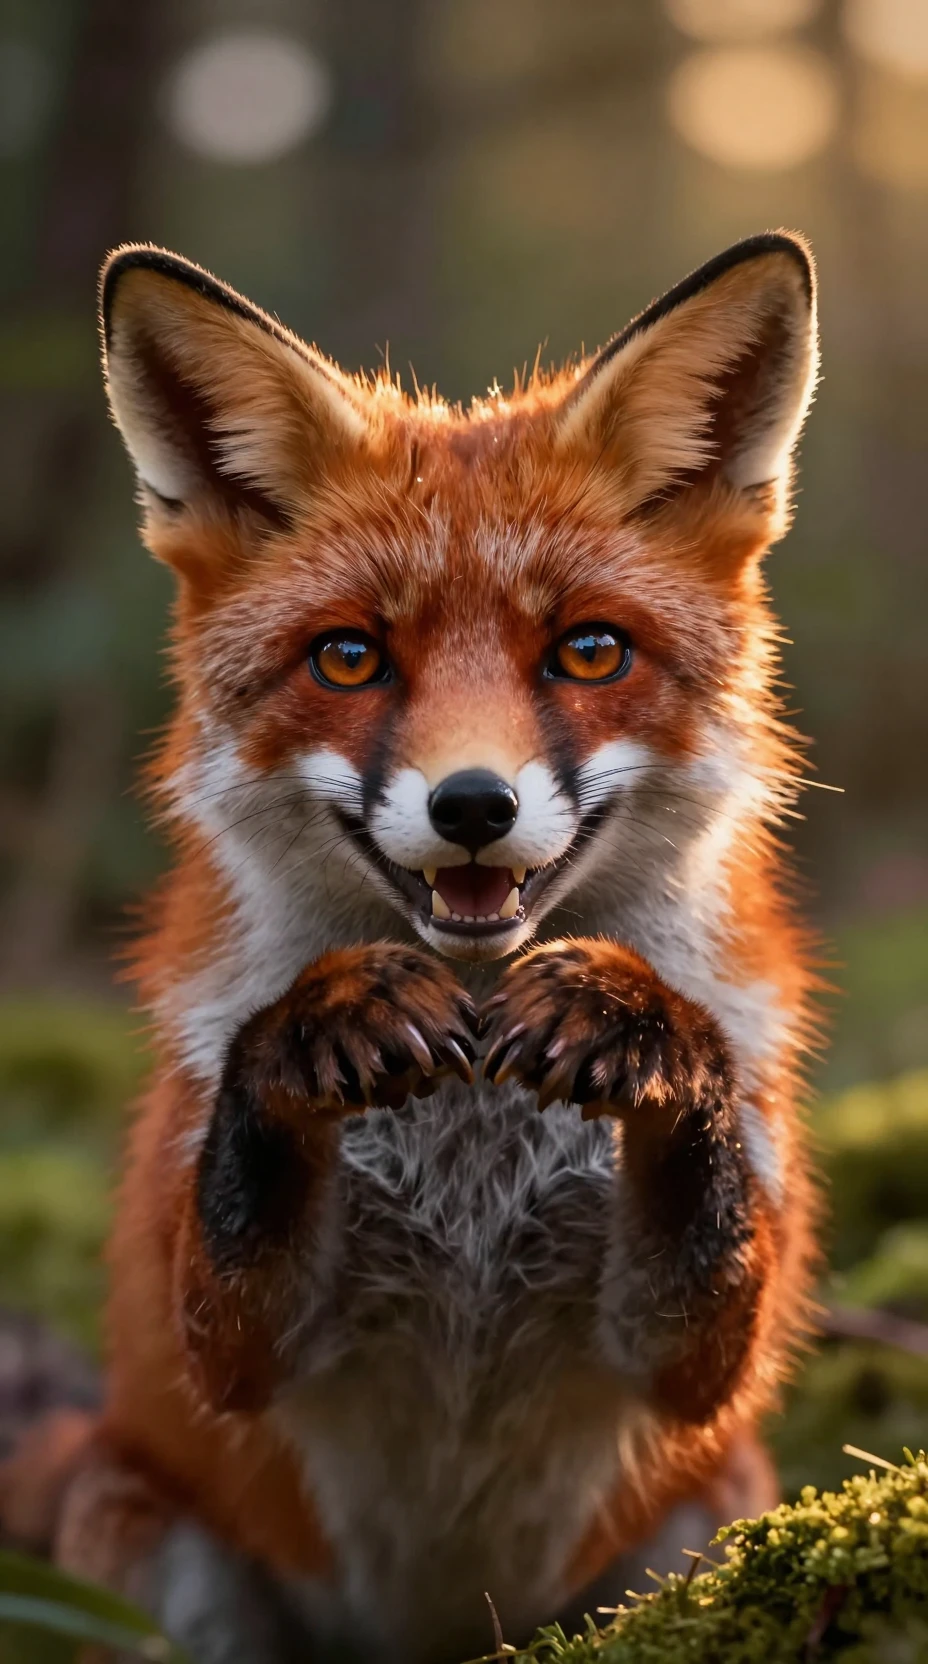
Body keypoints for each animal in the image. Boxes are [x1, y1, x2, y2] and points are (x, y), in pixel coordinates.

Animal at [1, 232, 822, 1664]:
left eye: (588, 650)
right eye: (349, 658)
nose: (472, 804)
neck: (472, 1142)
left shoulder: (689, 1365)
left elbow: (703, 1306)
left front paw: (638, 1022)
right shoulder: (218, 1339)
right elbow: (235, 1242)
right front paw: (317, 1024)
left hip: (706, 1525)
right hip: (154, 1548)